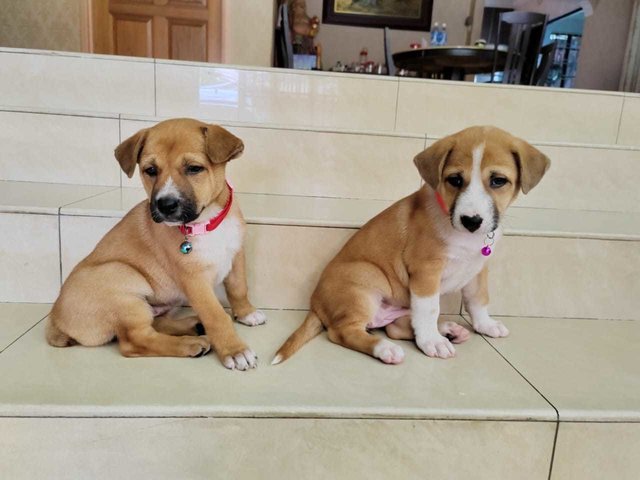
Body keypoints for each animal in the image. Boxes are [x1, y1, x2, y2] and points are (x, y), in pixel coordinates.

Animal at [47, 117, 266, 372]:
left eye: (194, 168)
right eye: (150, 170)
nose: (165, 205)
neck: (207, 222)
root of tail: (56, 320)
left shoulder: (236, 254)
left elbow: (239, 288)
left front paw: (246, 313)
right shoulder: (194, 280)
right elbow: (216, 316)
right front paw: (235, 350)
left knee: (155, 322)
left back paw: (193, 326)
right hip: (120, 280)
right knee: (135, 341)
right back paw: (191, 343)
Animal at [274, 125, 552, 366]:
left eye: (498, 181)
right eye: (455, 180)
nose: (472, 221)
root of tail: (315, 303)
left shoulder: (478, 269)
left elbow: (478, 300)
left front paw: (485, 324)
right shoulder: (426, 270)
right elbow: (430, 308)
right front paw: (432, 342)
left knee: (395, 327)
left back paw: (448, 330)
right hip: (364, 281)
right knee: (344, 332)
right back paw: (388, 348)